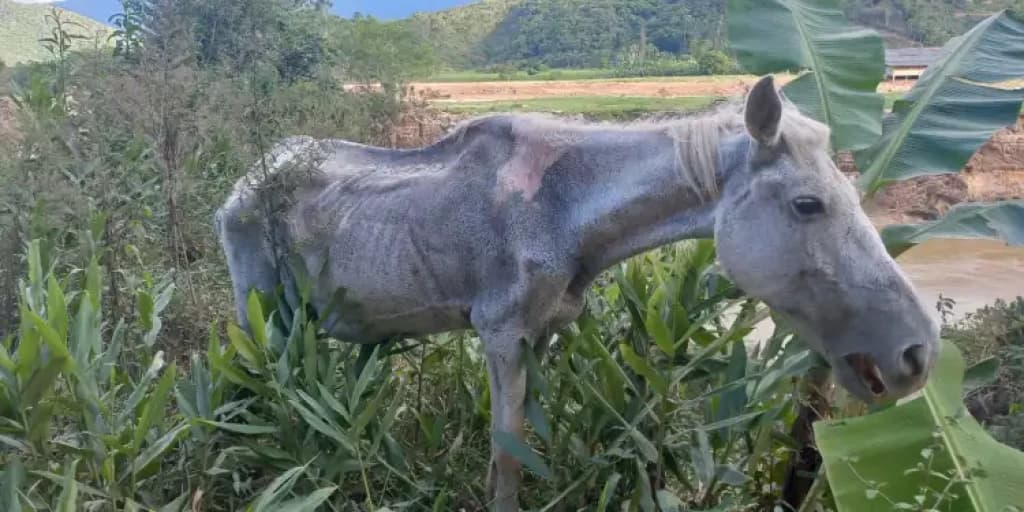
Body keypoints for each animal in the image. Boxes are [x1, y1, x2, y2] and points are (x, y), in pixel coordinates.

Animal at [215, 75, 939, 511]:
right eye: (808, 204)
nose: (917, 353)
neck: (570, 213)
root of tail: (241, 185)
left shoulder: (544, 333)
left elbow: (525, 449)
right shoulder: (501, 332)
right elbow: (506, 459)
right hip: (261, 319)